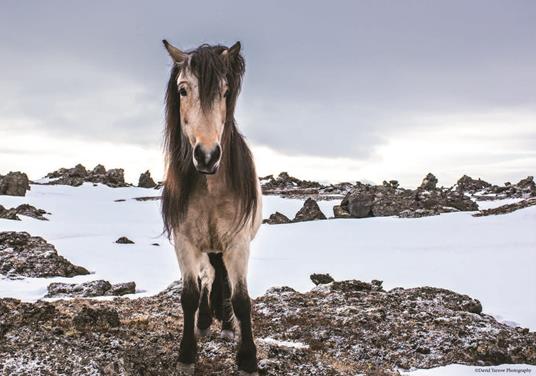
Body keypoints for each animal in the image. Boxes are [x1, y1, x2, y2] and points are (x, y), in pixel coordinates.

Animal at [161, 39, 262, 374]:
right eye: (182, 90)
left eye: (225, 91)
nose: (207, 156)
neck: (210, 188)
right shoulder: (185, 242)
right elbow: (190, 295)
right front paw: (187, 354)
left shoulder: (238, 243)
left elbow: (241, 298)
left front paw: (247, 358)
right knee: (210, 279)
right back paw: (206, 321)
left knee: (223, 280)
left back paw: (227, 325)